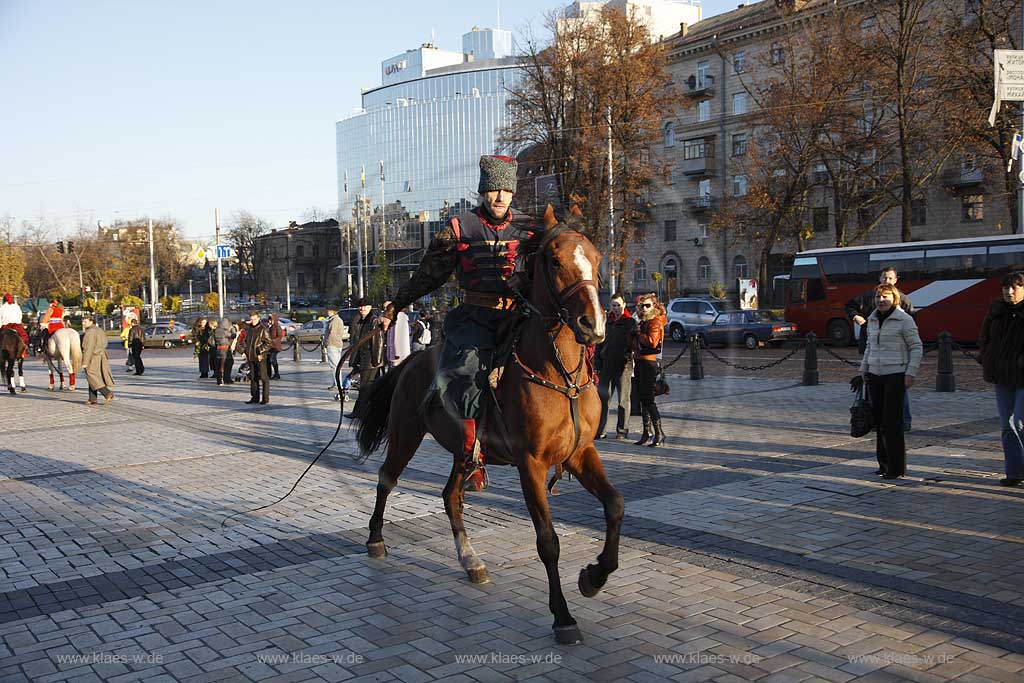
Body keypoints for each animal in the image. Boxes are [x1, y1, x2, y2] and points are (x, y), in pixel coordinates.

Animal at [352, 209, 622, 647]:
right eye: (554, 261)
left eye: (597, 259)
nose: (593, 325)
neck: (558, 373)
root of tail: (411, 360)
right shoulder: (531, 464)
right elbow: (548, 541)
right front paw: (562, 616)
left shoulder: (580, 453)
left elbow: (615, 505)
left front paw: (594, 577)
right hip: (406, 434)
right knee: (386, 479)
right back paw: (376, 539)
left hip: (463, 449)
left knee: (450, 497)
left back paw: (470, 560)